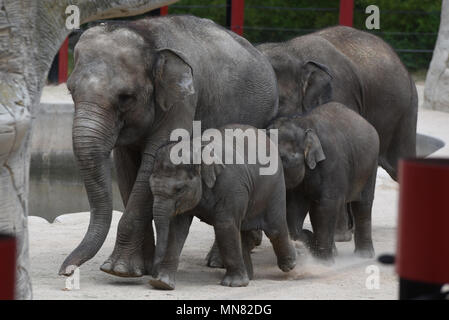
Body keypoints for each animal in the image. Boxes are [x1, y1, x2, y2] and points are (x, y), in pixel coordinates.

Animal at [57, 15, 278, 276]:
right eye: (71, 91)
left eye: (125, 97)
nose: (66, 271)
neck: (146, 34)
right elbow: (126, 171)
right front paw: (136, 268)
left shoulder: (183, 101)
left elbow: (153, 162)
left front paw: (117, 270)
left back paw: (219, 262)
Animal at [149, 125, 296, 290]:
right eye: (150, 184)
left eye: (179, 189)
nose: (153, 275)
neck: (195, 148)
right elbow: (178, 228)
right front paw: (162, 283)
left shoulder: (230, 184)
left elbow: (224, 225)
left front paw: (233, 284)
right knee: (242, 231)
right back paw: (249, 277)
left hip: (275, 186)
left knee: (274, 228)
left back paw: (289, 265)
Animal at [258, 25, 418, 240]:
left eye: (277, 101)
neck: (292, 51)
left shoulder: (341, 93)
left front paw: (338, 237)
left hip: (406, 111)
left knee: (398, 164)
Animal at [266, 103, 378, 262]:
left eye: (282, 158)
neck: (302, 123)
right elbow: (293, 207)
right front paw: (306, 240)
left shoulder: (331, 162)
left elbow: (326, 206)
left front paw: (324, 261)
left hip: (371, 165)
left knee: (363, 204)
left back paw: (364, 255)